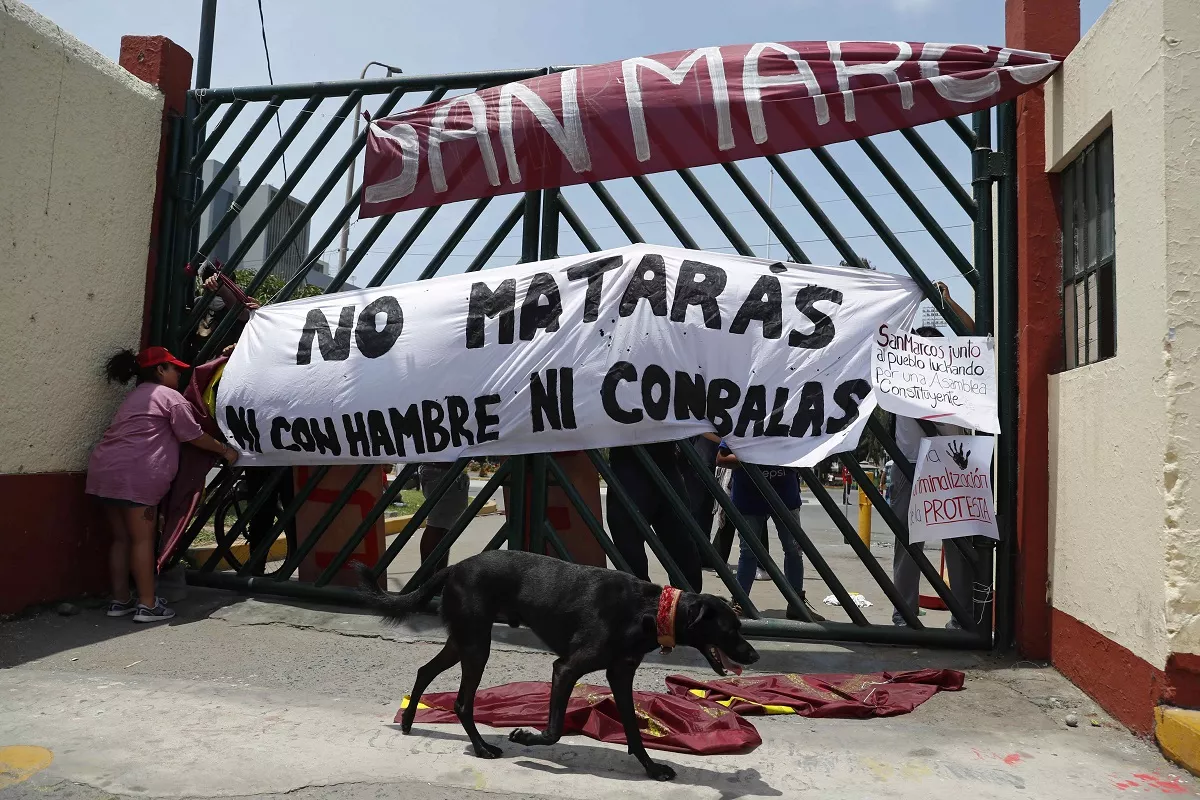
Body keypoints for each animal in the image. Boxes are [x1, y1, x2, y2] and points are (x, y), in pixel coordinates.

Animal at [350, 551, 758, 782]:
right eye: (732, 628)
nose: (754, 656)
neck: (648, 610)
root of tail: (454, 567)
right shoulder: (565, 669)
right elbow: (555, 731)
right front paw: (525, 737)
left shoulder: (620, 675)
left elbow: (633, 730)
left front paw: (652, 768)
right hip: (476, 647)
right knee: (462, 701)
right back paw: (482, 748)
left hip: (463, 642)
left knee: (425, 671)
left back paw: (408, 722)